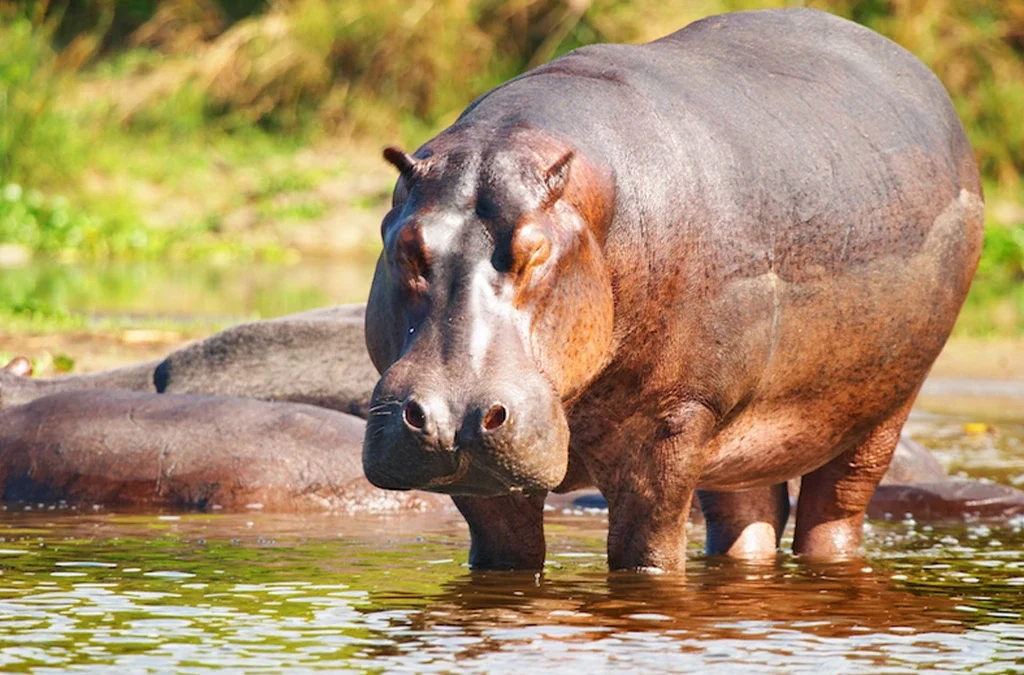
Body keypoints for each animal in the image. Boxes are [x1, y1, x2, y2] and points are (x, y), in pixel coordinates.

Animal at [361, 8, 984, 572]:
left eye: (535, 251)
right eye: (406, 246)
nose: (451, 418)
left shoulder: (675, 418)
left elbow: (647, 553)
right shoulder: (486, 479)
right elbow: (505, 555)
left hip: (883, 407)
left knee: (835, 511)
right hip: (737, 441)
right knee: (747, 519)